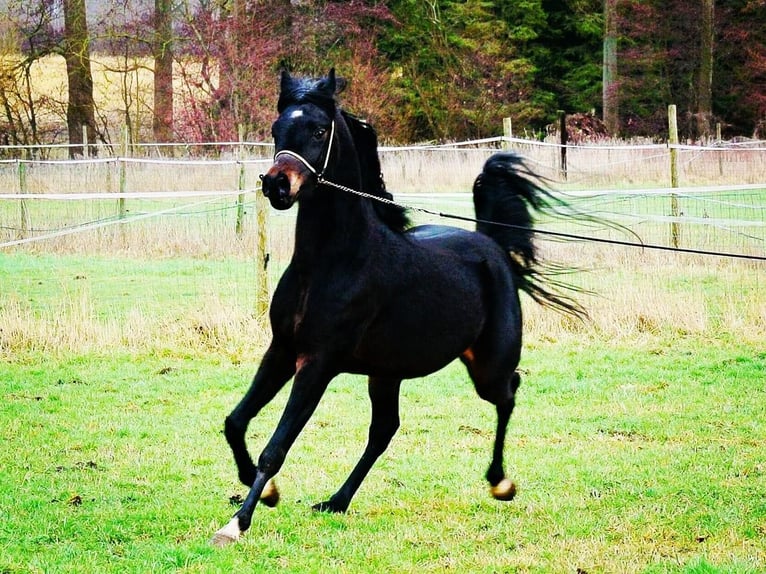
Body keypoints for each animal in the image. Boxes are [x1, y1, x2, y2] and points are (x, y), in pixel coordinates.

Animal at [210, 70, 584, 548]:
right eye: (277, 129)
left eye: (318, 129)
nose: (276, 185)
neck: (331, 262)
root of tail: (492, 245)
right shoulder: (281, 351)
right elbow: (235, 422)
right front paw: (265, 493)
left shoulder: (317, 363)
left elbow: (275, 447)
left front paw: (237, 523)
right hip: (386, 373)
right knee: (384, 429)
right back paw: (337, 501)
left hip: (487, 366)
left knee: (509, 392)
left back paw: (500, 482)